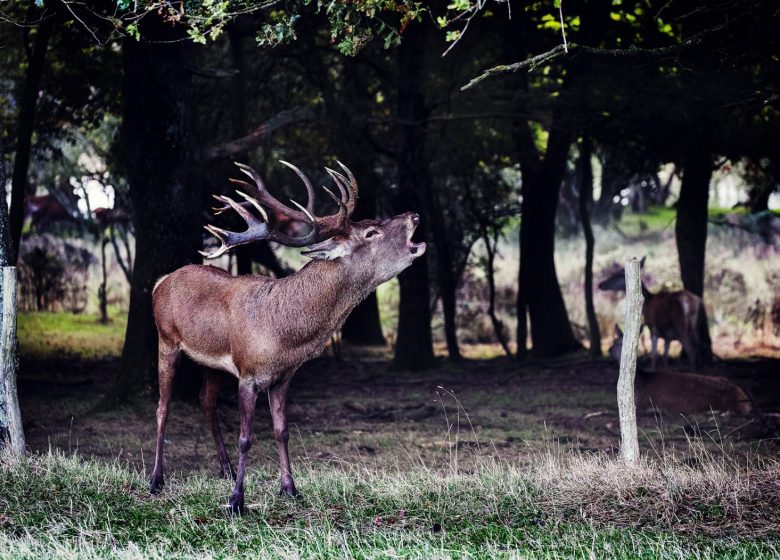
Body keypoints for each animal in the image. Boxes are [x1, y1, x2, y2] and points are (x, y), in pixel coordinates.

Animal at [151, 161, 426, 514]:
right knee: (162, 407)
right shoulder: (248, 373)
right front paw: (236, 502)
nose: (414, 214)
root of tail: (161, 281)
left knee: (206, 401)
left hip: (211, 362)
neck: (284, 333)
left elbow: (282, 431)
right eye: (371, 232)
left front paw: (290, 489)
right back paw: (156, 479)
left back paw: (225, 469)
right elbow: (246, 437)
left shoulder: (282, 376)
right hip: (166, 339)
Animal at [609, 325, 753, 415]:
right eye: (614, 341)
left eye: (618, 343)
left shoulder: (641, 403)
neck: (641, 381)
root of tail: (744, 400)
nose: (609, 350)